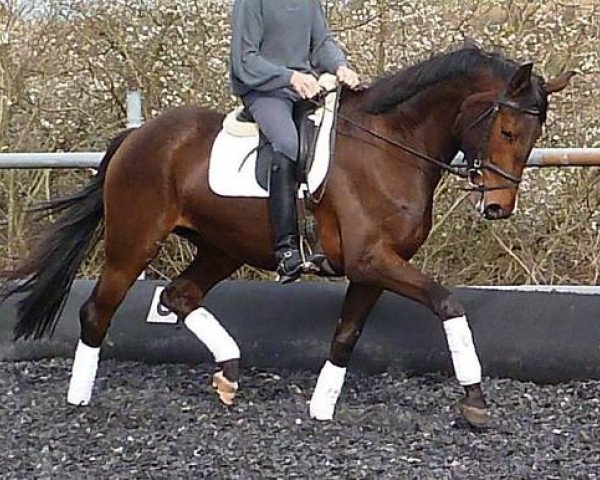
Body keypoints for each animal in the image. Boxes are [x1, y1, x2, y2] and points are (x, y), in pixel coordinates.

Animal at [1, 44, 572, 428]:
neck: (391, 145)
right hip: (133, 243)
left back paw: (229, 373)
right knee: (98, 311)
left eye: (534, 136)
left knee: (178, 295)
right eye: (506, 130)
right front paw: (474, 402)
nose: (497, 208)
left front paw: (321, 406)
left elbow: (346, 335)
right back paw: (80, 399)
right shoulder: (372, 260)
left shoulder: (373, 270)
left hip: (222, 247)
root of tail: (138, 136)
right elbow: (448, 304)